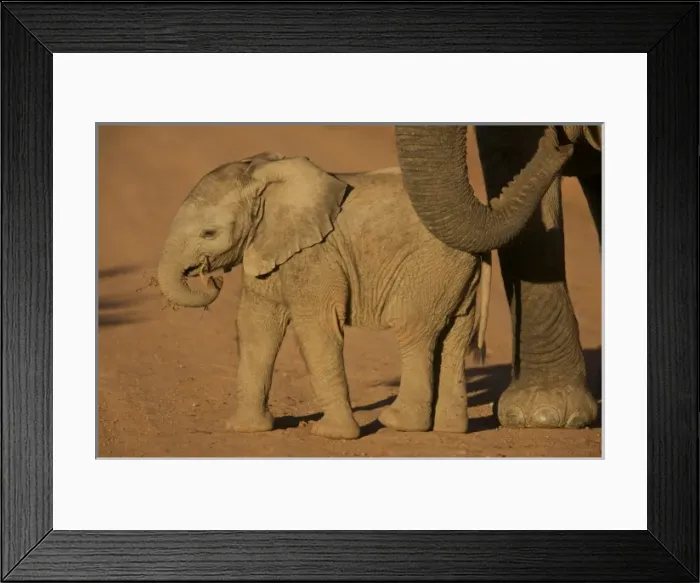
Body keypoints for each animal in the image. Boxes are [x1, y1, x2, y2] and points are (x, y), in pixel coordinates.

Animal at [156, 139, 574, 440]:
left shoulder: (317, 257)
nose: (207, 276)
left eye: (208, 233)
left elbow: (316, 330)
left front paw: (332, 435)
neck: (267, 179)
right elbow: (256, 328)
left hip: (427, 268)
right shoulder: (268, 253)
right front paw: (244, 430)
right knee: (455, 337)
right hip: (457, 273)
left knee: (415, 331)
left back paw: (397, 423)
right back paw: (449, 431)